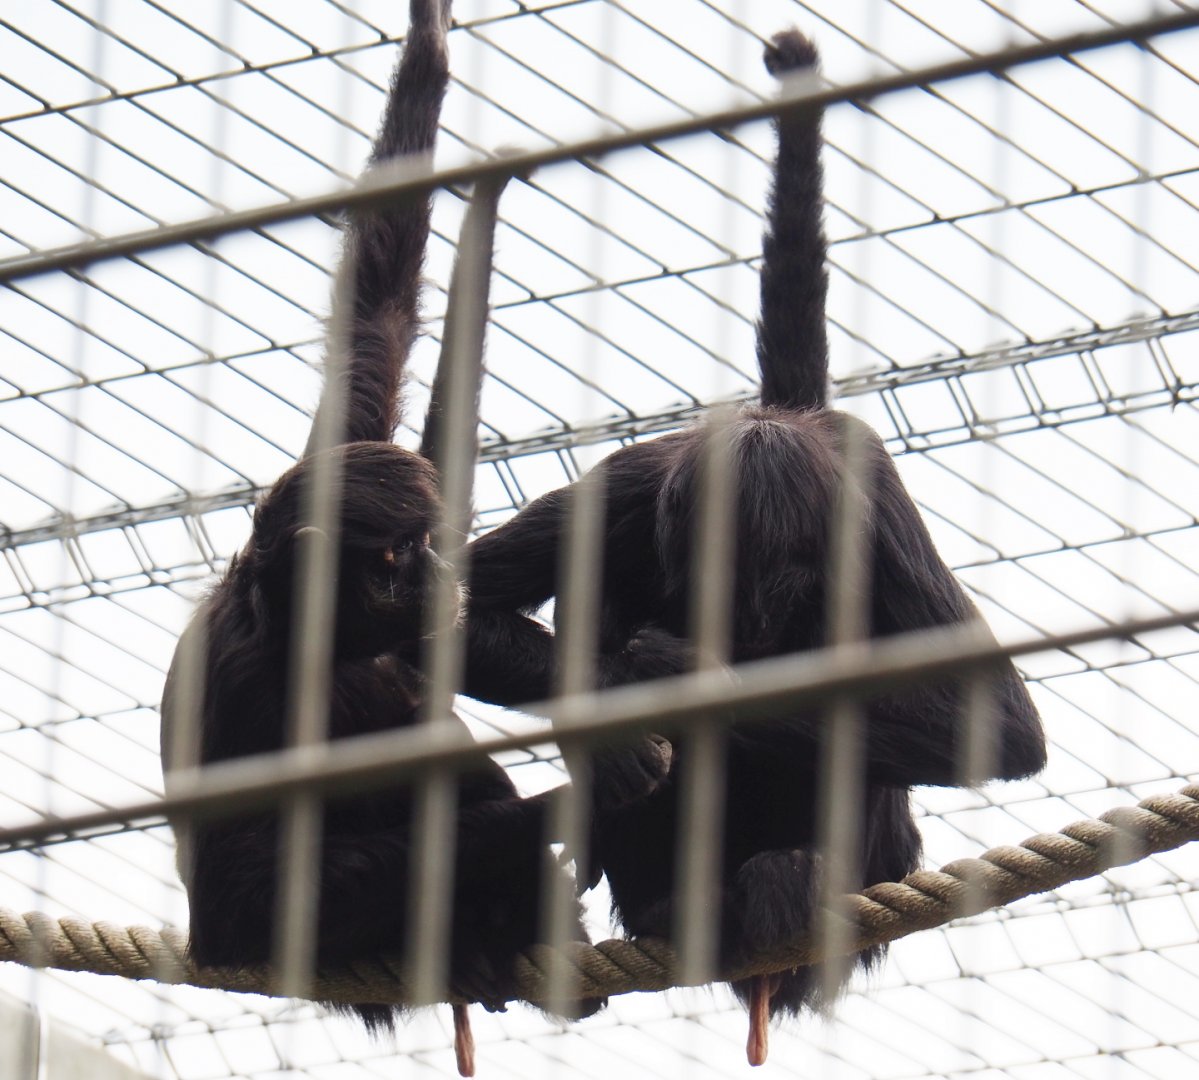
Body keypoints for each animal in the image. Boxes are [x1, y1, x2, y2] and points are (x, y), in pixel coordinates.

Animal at [159, 3, 597, 1074]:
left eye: (421, 546)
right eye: (394, 559)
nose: (434, 572)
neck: (295, 630)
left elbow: (376, 316)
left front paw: (430, 57)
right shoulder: (247, 688)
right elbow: (245, 908)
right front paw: (552, 807)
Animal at [458, 29, 1047, 1066]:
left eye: (788, 590)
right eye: (721, 581)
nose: (752, 627)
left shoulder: (872, 502)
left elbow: (998, 722)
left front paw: (679, 672)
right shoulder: (628, 485)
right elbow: (449, 611)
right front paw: (626, 704)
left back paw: (791, 885)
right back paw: (669, 900)